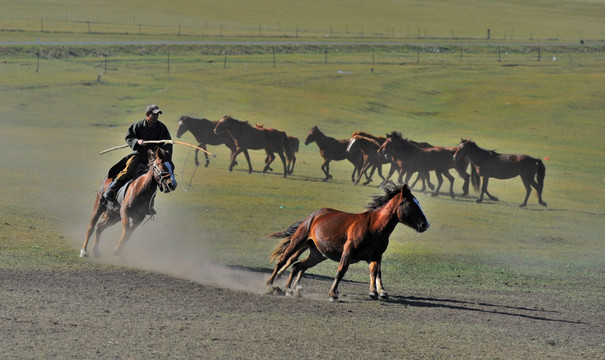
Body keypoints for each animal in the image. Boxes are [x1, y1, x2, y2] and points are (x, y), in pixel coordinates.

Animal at [266, 183, 430, 300]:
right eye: (410, 203)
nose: (425, 225)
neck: (374, 226)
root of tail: (313, 215)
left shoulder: (375, 255)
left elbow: (375, 271)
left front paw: (376, 292)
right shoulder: (348, 251)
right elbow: (341, 270)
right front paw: (333, 293)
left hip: (317, 254)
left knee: (297, 266)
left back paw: (288, 289)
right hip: (298, 242)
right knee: (283, 261)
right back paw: (270, 285)